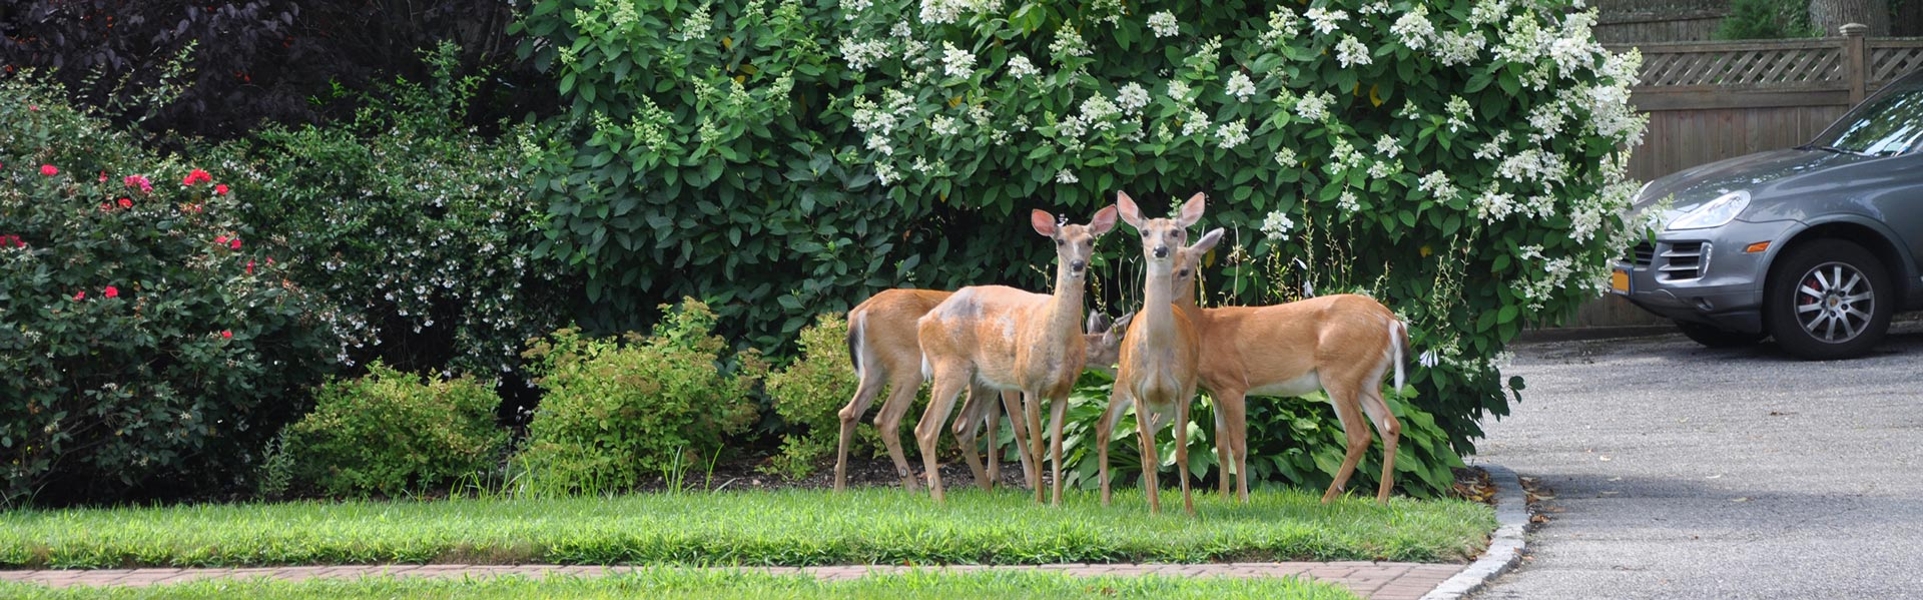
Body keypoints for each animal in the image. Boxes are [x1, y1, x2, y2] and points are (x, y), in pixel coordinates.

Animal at [911, 203, 1123, 503]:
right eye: (1060, 241)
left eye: (1090, 241)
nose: (1077, 265)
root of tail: (923, 323)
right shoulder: (1027, 384)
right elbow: (1035, 443)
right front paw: (1039, 499)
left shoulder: (1064, 389)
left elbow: (1056, 448)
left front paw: (1057, 502)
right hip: (949, 366)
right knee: (926, 429)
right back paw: (939, 498)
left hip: (982, 380)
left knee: (962, 427)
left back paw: (987, 491)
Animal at [1099, 192, 1215, 515]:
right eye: (1145, 231)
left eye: (1174, 232)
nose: (1160, 250)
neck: (1160, 351)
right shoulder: (1139, 393)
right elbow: (1152, 456)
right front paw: (1154, 511)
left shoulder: (1182, 392)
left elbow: (1181, 453)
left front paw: (1189, 510)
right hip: (1122, 382)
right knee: (1104, 429)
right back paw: (1107, 499)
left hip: (1165, 403)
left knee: (1138, 435)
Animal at [1161, 234, 1407, 500]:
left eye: (1184, 271)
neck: (1204, 328)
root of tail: (1393, 322)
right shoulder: (1214, 391)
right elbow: (1221, 446)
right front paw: (1223, 497)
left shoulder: (1233, 384)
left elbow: (1238, 446)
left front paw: (1242, 498)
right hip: (1368, 380)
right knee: (1390, 426)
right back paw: (1381, 500)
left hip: (1340, 373)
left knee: (1359, 435)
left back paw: (1328, 499)